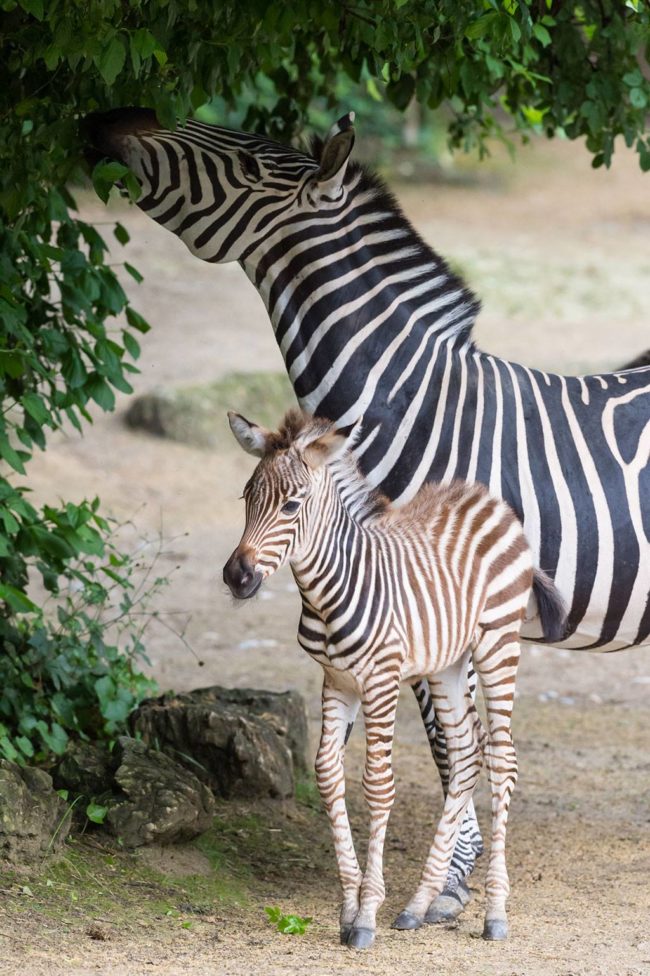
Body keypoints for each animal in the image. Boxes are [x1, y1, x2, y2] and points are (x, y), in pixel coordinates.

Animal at [85, 108, 648, 924]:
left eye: (249, 166)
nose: (108, 122)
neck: (419, 408)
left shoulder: (447, 604)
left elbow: (453, 745)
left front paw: (446, 886)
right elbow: (445, 745)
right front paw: (447, 880)